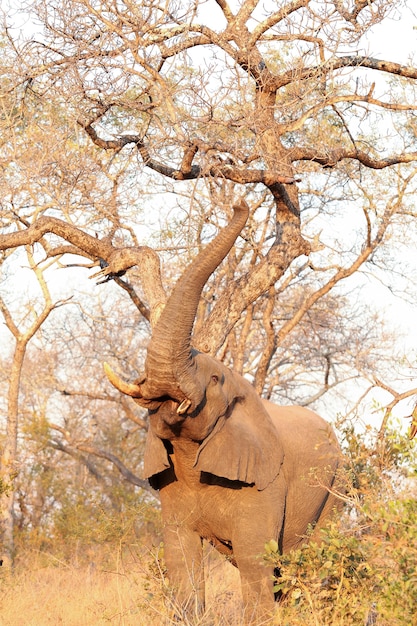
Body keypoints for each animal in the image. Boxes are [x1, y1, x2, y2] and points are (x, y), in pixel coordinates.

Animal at [105, 200, 342, 620]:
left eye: (215, 378)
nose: (240, 203)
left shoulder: (266, 482)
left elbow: (253, 558)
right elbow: (181, 556)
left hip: (335, 487)